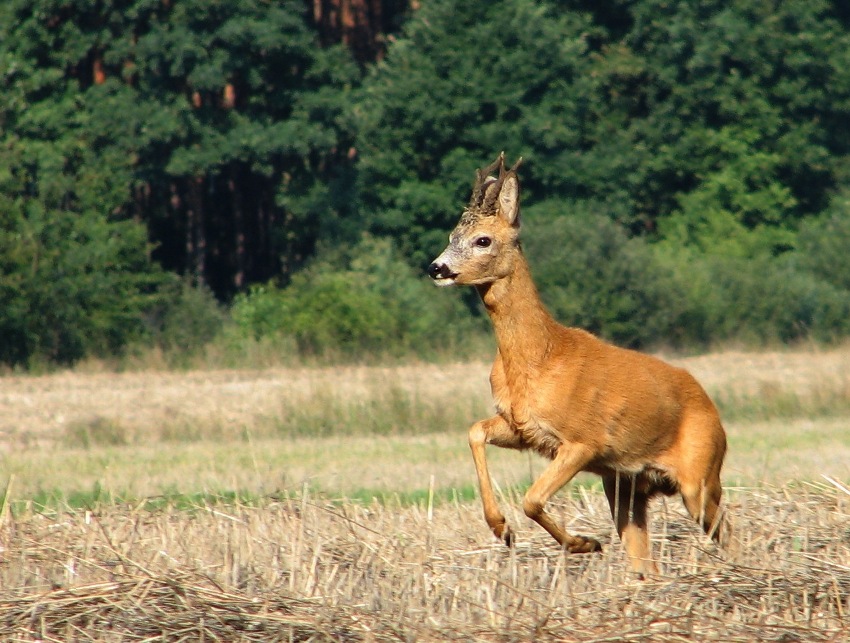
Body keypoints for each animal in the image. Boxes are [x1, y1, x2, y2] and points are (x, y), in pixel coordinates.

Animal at [428, 153, 724, 576]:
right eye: (452, 235)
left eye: (482, 239)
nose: (436, 268)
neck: (541, 357)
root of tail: (714, 410)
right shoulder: (523, 429)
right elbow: (475, 431)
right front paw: (501, 528)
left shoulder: (584, 441)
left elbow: (532, 499)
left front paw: (584, 543)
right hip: (627, 485)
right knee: (644, 559)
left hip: (701, 475)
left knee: (726, 527)